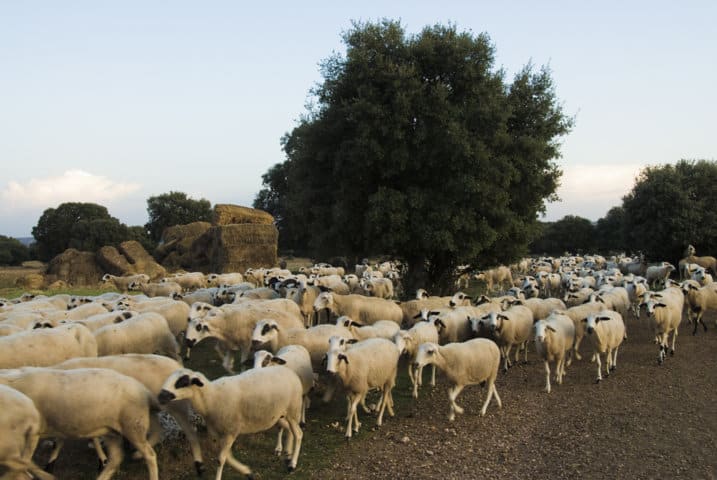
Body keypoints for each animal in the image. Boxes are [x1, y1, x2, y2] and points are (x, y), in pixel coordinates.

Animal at [158, 368, 304, 476]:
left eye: (182, 382)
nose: (160, 396)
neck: (211, 398)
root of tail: (290, 372)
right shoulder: (218, 433)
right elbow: (226, 457)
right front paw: (247, 472)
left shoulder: (231, 432)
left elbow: (220, 459)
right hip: (280, 415)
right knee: (289, 429)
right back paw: (287, 454)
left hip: (293, 410)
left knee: (298, 433)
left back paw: (292, 464)